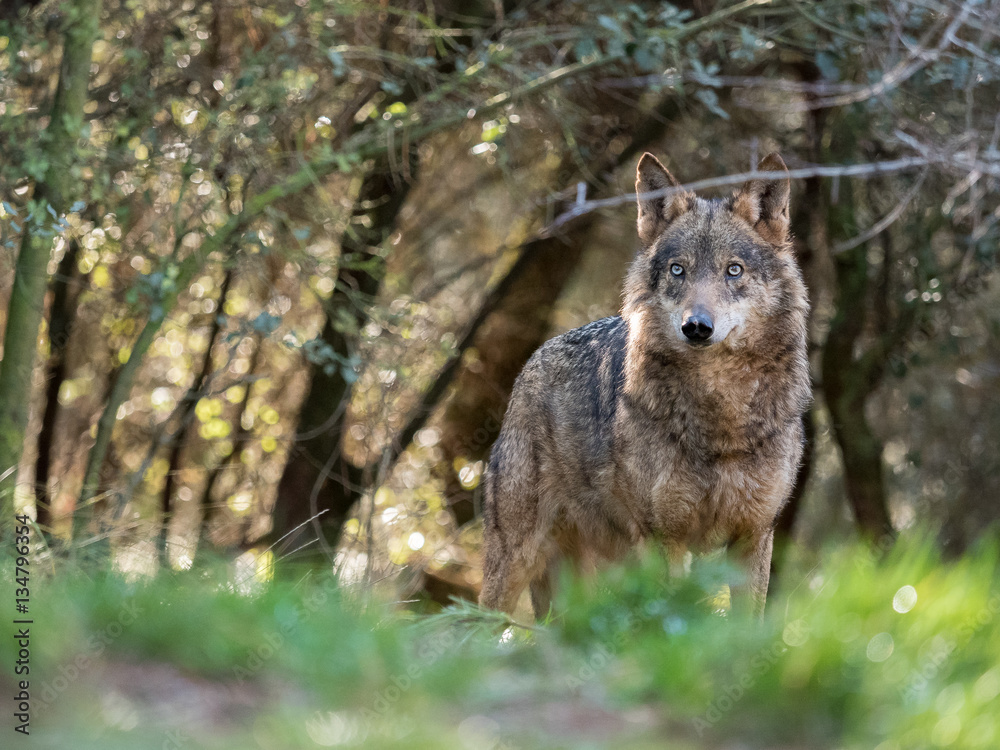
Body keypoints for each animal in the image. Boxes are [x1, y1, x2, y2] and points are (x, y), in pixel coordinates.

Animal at [479, 152, 810, 618]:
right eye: (678, 270)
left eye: (734, 271)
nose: (697, 327)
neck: (720, 420)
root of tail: (533, 359)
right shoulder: (663, 539)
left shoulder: (754, 536)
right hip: (516, 561)